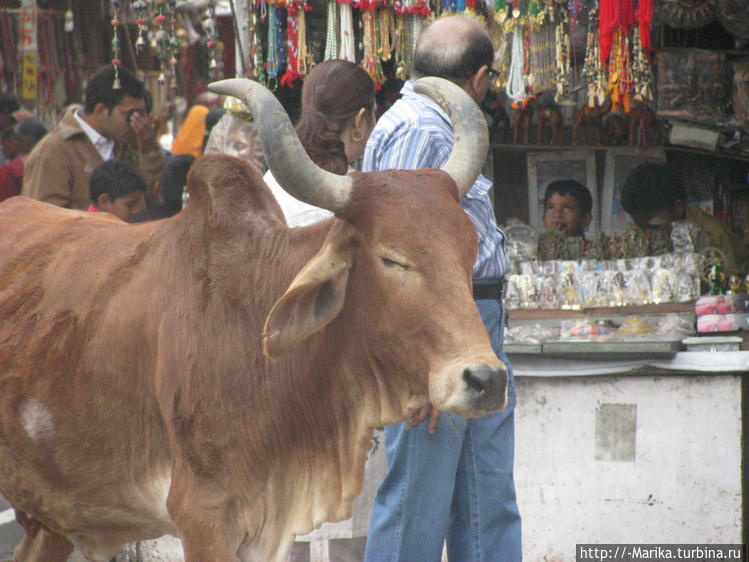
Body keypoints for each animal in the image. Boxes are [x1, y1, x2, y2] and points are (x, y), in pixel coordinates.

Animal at [0, 75, 508, 560]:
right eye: (392, 258)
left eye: (469, 251)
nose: (487, 379)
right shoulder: (202, 516)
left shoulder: (269, 527)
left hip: (53, 514)